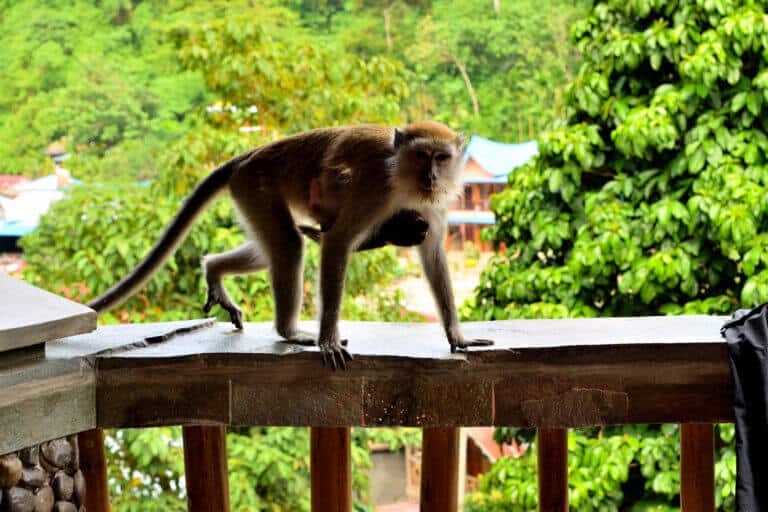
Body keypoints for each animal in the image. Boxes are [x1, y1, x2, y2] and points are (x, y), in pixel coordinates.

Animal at [87, 121, 496, 368]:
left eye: (441, 157)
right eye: (421, 155)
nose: (432, 176)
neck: (402, 179)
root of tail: (252, 154)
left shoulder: (434, 206)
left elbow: (433, 256)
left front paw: (457, 336)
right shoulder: (375, 190)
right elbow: (337, 242)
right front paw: (328, 340)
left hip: (249, 191)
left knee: (276, 244)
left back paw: (214, 268)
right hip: (256, 185)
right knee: (288, 245)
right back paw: (290, 331)